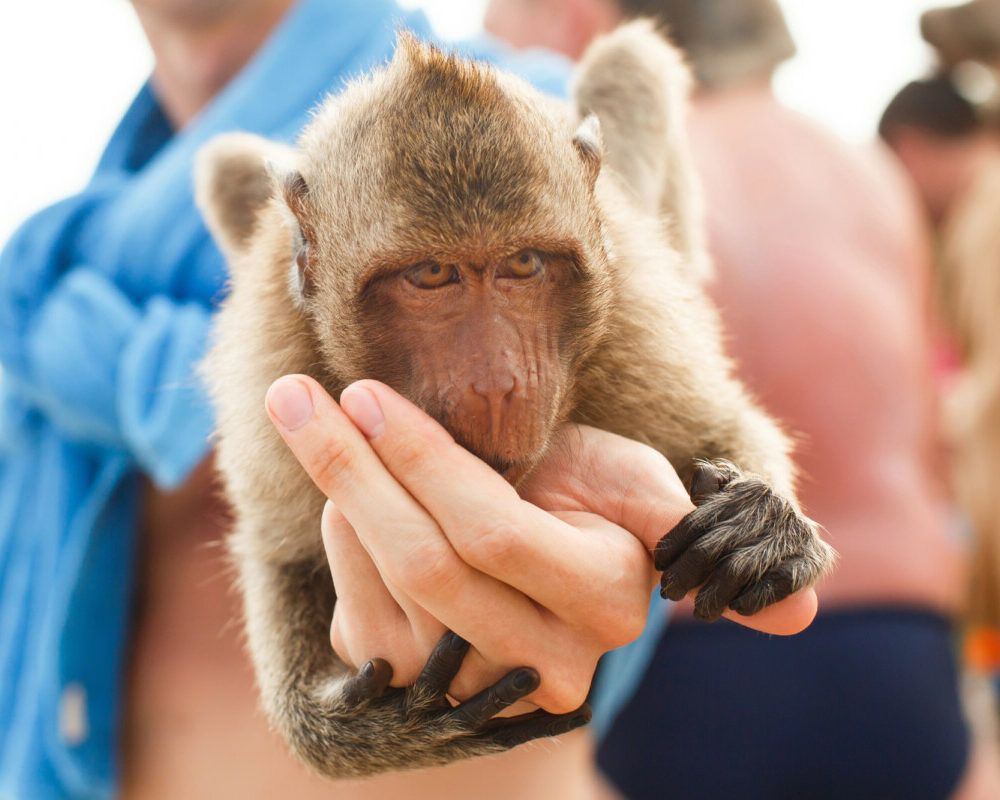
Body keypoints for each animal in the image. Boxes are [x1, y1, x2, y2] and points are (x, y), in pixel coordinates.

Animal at [195, 20, 836, 780]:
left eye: (523, 264)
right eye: (431, 274)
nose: (498, 382)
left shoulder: (629, 323)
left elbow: (715, 426)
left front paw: (760, 519)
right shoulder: (273, 359)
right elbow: (282, 554)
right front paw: (358, 733)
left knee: (629, 61)